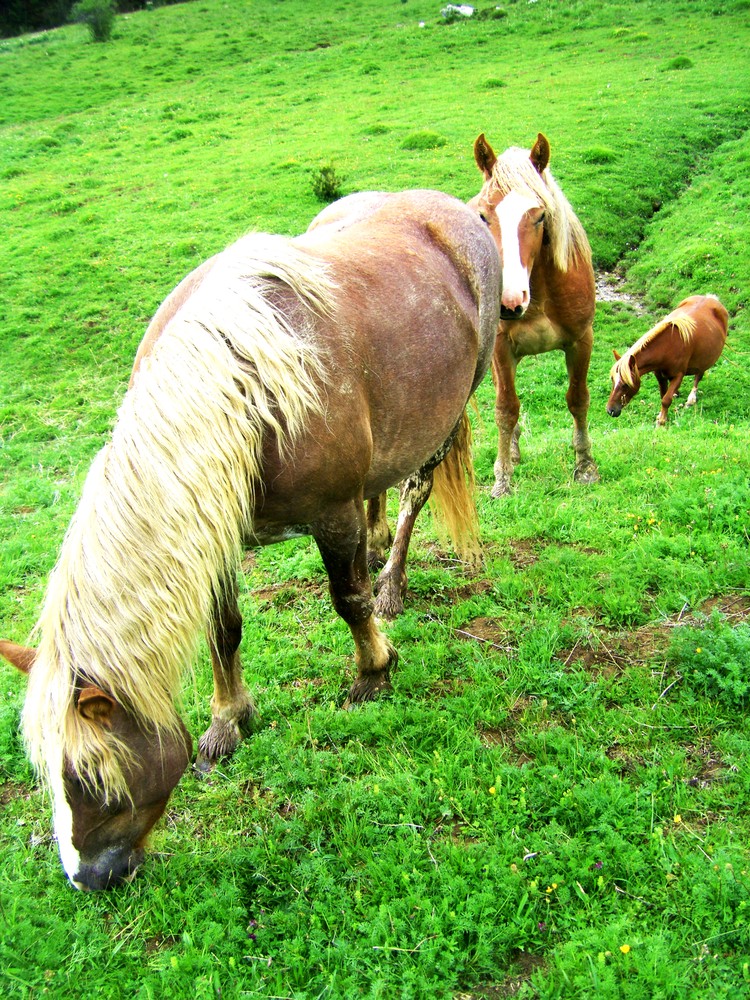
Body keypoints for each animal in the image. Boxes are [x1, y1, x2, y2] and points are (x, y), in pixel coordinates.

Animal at [1, 189, 506, 892]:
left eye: (91, 776)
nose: (87, 879)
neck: (242, 391)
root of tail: (458, 209)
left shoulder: (331, 516)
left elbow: (347, 600)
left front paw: (374, 671)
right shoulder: (216, 532)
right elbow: (225, 629)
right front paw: (227, 722)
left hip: (450, 411)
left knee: (413, 494)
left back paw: (392, 584)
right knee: (382, 491)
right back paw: (380, 548)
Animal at [472, 134, 604, 500]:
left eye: (541, 216)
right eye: (484, 215)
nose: (509, 301)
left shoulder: (581, 340)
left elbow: (578, 399)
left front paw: (585, 465)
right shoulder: (501, 347)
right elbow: (505, 408)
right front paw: (502, 479)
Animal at [608, 292, 732, 426]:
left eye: (625, 384)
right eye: (613, 380)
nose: (610, 410)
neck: (668, 347)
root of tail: (710, 298)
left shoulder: (678, 375)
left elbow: (666, 399)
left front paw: (661, 421)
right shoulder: (659, 375)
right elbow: (663, 395)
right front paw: (662, 415)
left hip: (704, 359)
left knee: (698, 375)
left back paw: (691, 399)